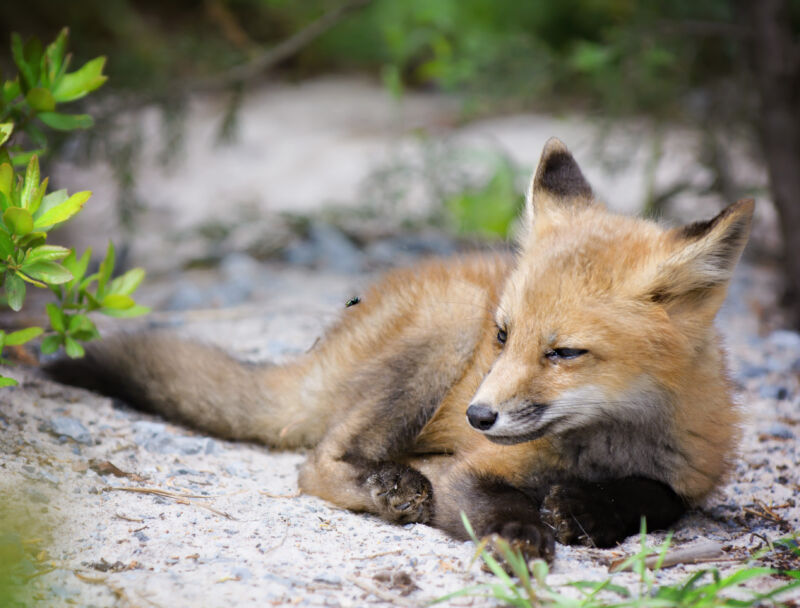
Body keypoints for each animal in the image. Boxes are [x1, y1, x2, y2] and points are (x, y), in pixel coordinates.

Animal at [47, 138, 752, 560]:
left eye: (564, 353)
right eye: (503, 336)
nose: (477, 415)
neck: (606, 441)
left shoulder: (692, 472)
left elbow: (660, 499)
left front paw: (591, 511)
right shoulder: (468, 468)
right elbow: (496, 502)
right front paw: (521, 539)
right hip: (446, 327)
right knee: (314, 464)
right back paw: (388, 487)